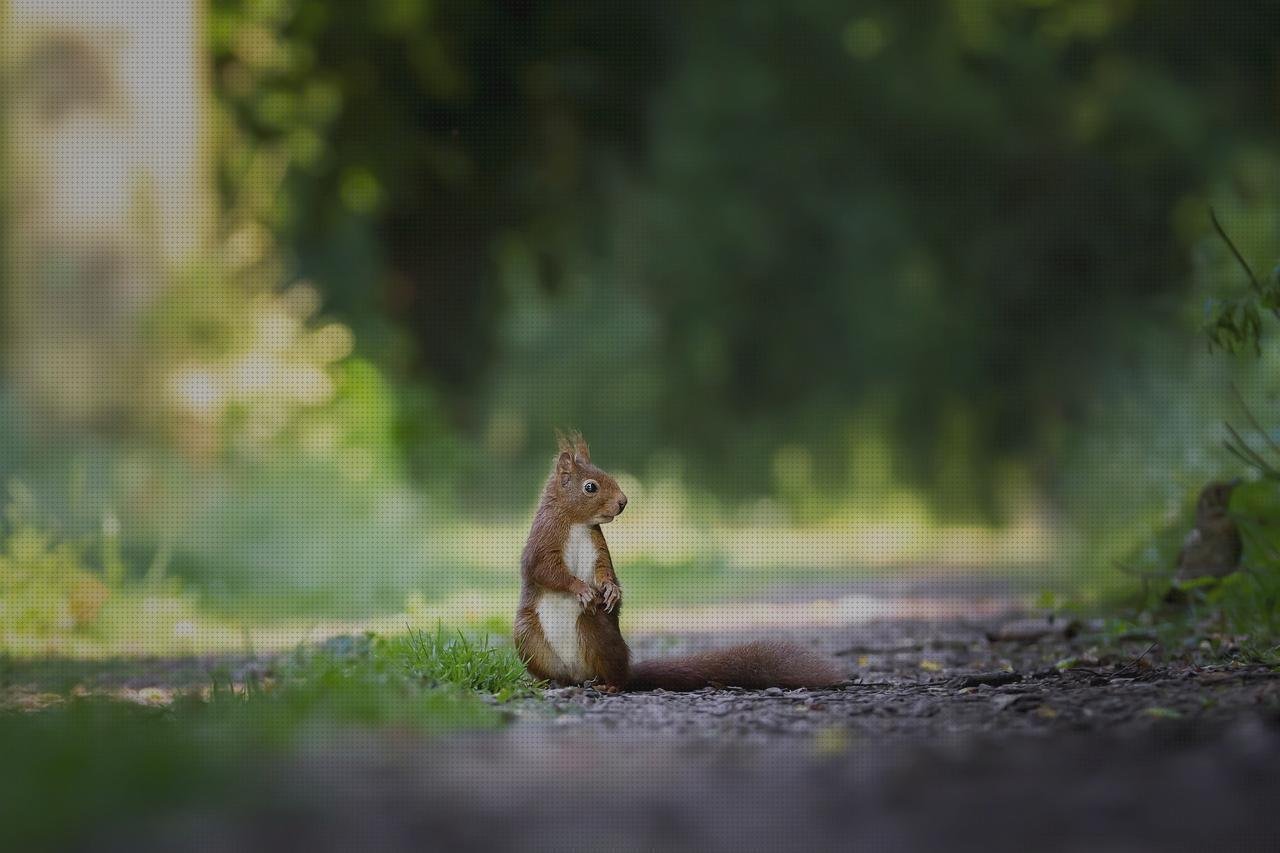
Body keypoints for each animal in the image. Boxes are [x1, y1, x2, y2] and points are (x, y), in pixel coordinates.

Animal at [514, 432, 844, 691]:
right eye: (590, 487)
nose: (623, 502)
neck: (576, 523)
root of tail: (579, 674)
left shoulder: (598, 546)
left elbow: (604, 571)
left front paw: (611, 591)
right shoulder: (543, 541)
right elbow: (546, 571)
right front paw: (581, 588)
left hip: (595, 630)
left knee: (615, 674)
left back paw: (610, 684)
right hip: (528, 636)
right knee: (554, 670)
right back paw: (550, 682)